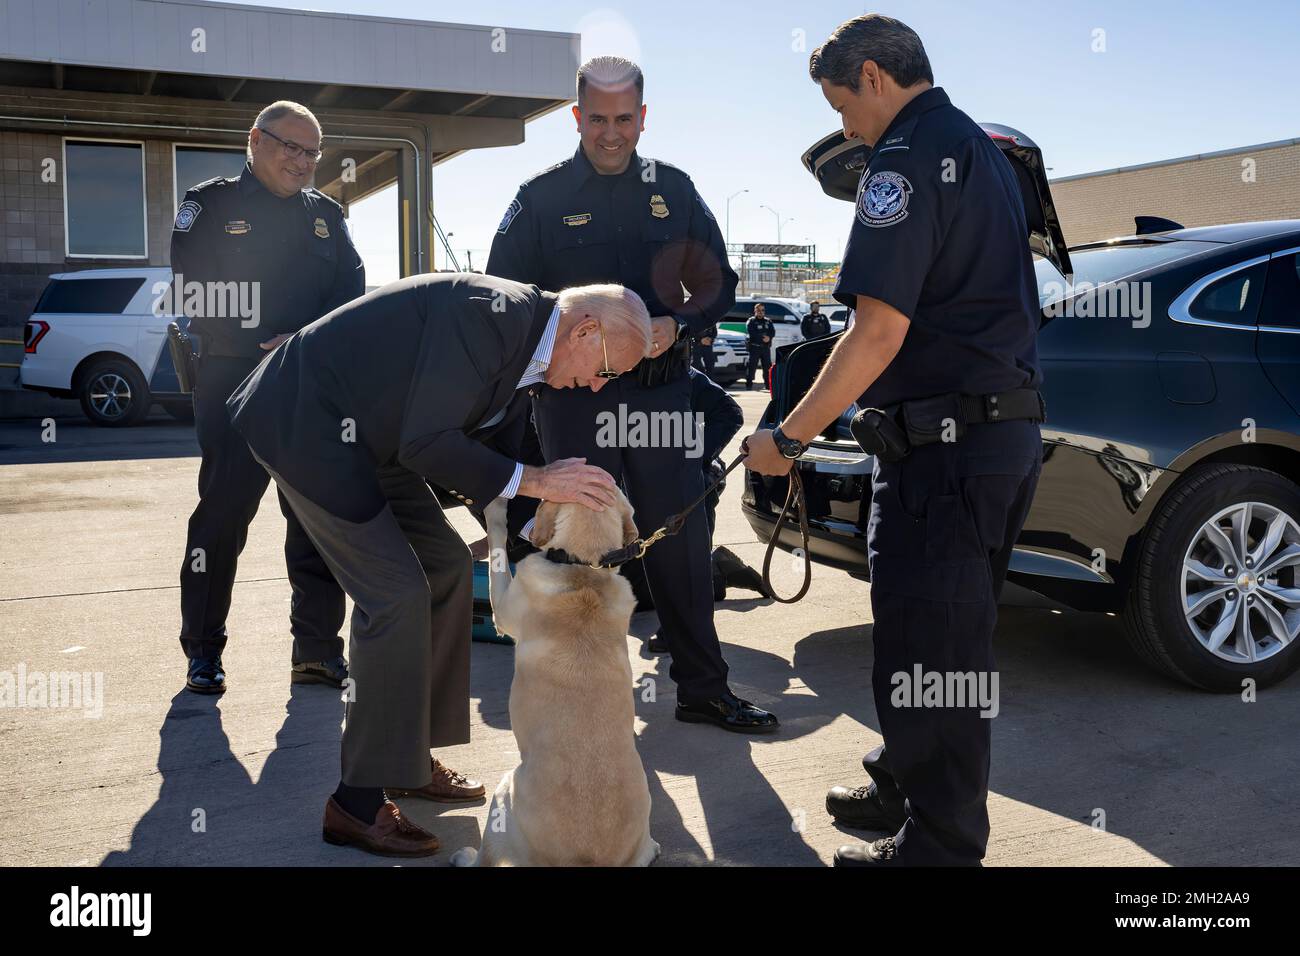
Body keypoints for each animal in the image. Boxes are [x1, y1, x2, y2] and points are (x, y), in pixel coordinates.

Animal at [454, 494, 660, 868]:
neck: (584, 568)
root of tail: (588, 861)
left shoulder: (503, 608)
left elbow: (497, 550)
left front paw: (496, 509)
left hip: (502, 794)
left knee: (486, 858)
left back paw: (464, 856)